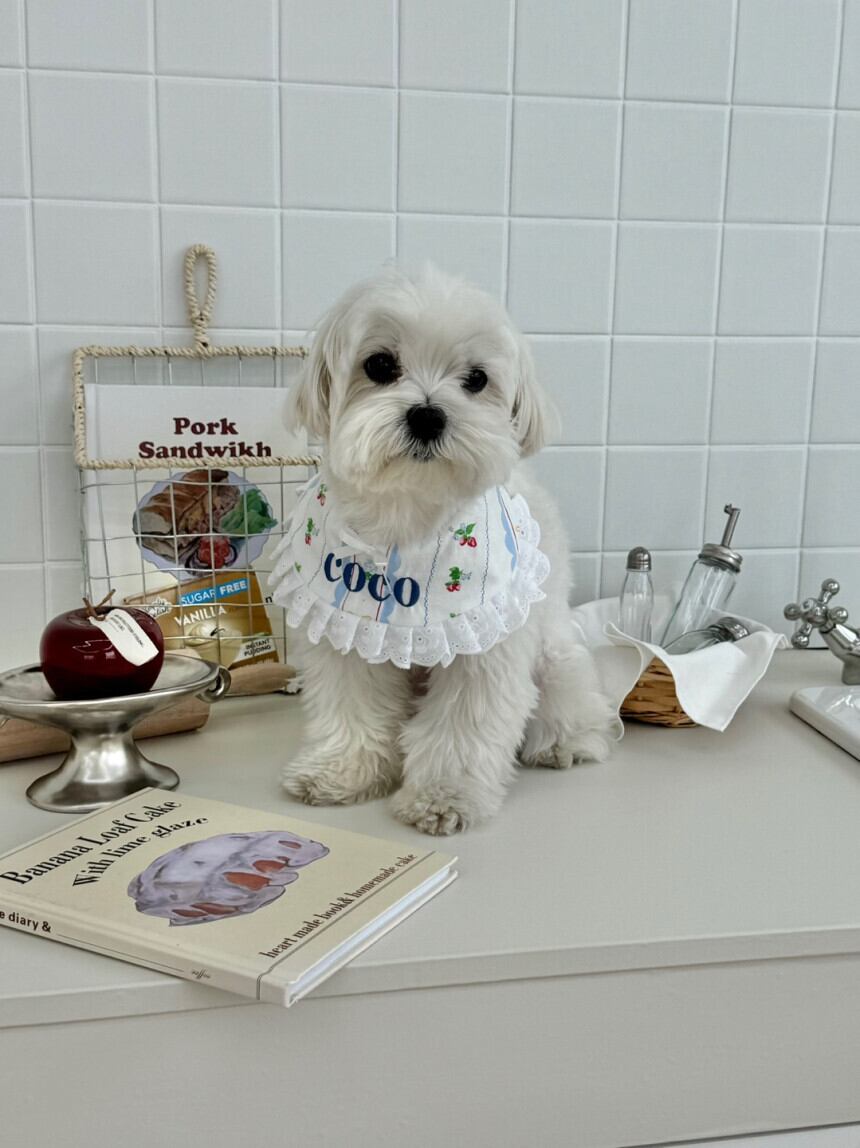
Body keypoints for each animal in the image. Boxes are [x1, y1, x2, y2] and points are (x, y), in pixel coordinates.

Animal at [271, 265, 616, 835]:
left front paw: (444, 796)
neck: (407, 516)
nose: (428, 416)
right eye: (379, 364)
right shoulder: (345, 631)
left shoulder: (484, 644)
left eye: (476, 379)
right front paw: (341, 772)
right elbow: (351, 706)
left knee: (575, 704)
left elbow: (464, 728)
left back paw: (565, 742)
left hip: (554, 659)